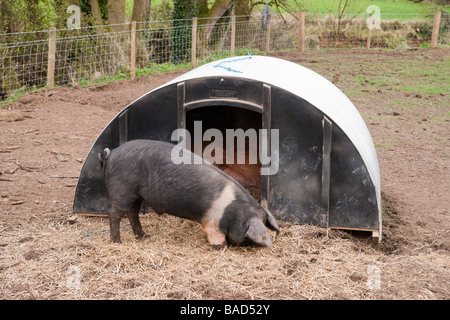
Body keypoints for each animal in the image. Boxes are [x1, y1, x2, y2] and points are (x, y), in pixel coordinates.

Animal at [100, 139, 280, 246]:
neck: (233, 211)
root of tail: (111, 154)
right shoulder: (211, 221)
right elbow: (214, 235)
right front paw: (220, 245)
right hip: (122, 190)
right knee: (114, 214)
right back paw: (117, 242)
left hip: (136, 196)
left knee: (133, 213)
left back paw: (143, 236)